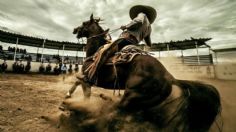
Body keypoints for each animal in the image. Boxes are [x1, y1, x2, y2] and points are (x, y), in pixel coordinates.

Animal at [62, 13, 221, 131]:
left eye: (84, 23)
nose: (75, 29)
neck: (95, 50)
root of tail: (169, 77)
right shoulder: (85, 78)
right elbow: (77, 83)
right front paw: (68, 96)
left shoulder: (87, 78)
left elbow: (83, 90)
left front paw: (68, 99)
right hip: (141, 102)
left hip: (132, 96)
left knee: (114, 110)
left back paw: (89, 116)